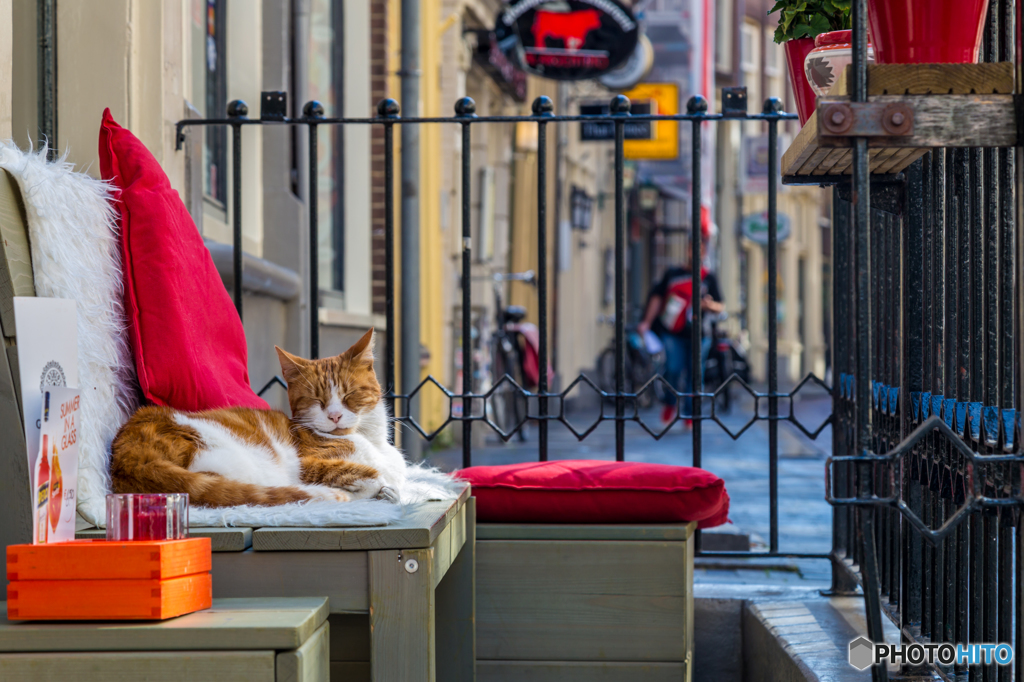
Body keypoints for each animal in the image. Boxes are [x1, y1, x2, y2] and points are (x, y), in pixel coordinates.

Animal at [108, 329, 403, 503]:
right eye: (315, 400)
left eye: (349, 395)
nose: (334, 417)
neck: (369, 440)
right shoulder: (306, 463)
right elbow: (369, 474)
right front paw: (378, 488)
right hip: (240, 460)